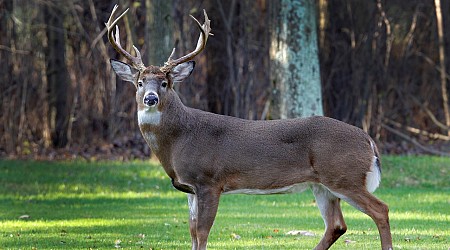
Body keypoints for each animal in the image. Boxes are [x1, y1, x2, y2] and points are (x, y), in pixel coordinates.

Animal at [106, 5, 394, 250]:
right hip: (322, 185)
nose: (150, 99)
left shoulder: (210, 181)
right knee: (336, 225)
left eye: (165, 83)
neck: (178, 140)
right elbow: (191, 232)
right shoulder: (190, 188)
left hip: (344, 175)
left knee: (381, 209)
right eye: (140, 82)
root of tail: (368, 140)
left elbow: (202, 232)